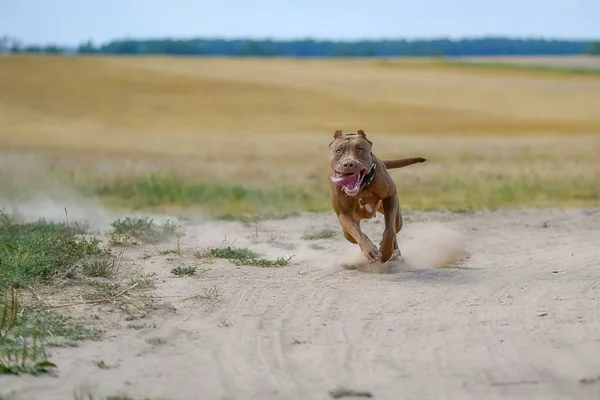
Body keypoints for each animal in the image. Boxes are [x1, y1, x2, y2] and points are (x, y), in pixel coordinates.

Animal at [328, 130, 426, 264]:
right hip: (347, 233)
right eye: (338, 151)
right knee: (353, 235)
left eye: (360, 149)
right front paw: (369, 250)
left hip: (397, 219)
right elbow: (358, 233)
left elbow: (389, 230)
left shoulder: (390, 196)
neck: (362, 186)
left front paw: (386, 251)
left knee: (395, 228)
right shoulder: (343, 214)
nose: (348, 164)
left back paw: (395, 252)